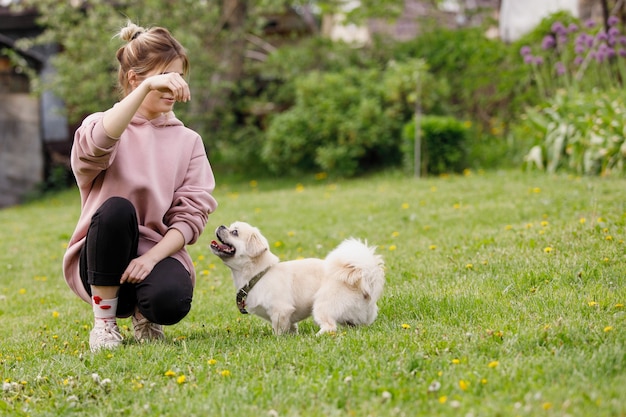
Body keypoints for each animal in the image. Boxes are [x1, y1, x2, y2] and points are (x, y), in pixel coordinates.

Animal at [212, 221, 382, 334]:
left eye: (235, 232)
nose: (221, 226)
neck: (259, 274)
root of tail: (361, 279)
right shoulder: (285, 316)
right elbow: (291, 328)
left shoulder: (280, 311)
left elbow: (278, 330)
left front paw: (277, 340)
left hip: (322, 305)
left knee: (330, 327)